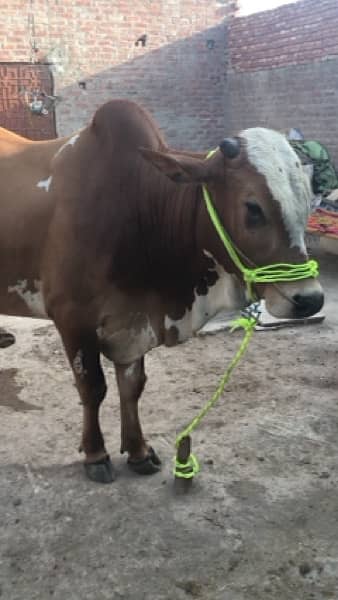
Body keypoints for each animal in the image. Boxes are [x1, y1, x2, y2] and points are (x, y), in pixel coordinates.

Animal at [0, 99, 322, 482]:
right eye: (253, 208)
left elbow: (132, 386)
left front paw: (138, 451)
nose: (310, 299)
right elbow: (92, 388)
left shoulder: (135, 319)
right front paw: (95, 455)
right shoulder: (72, 319)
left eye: (308, 202)